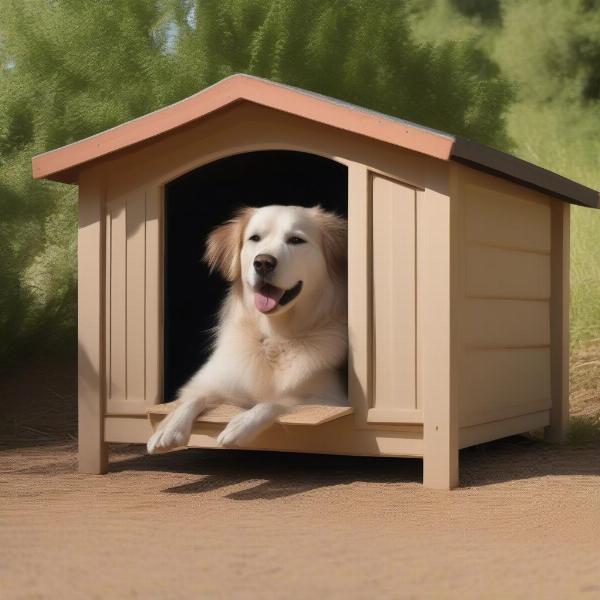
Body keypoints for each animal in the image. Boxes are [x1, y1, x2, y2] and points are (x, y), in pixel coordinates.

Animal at [147, 204, 350, 452]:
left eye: (296, 240)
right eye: (255, 238)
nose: (263, 262)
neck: (275, 337)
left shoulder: (332, 399)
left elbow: (276, 403)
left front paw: (241, 423)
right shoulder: (215, 381)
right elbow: (195, 397)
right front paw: (169, 428)